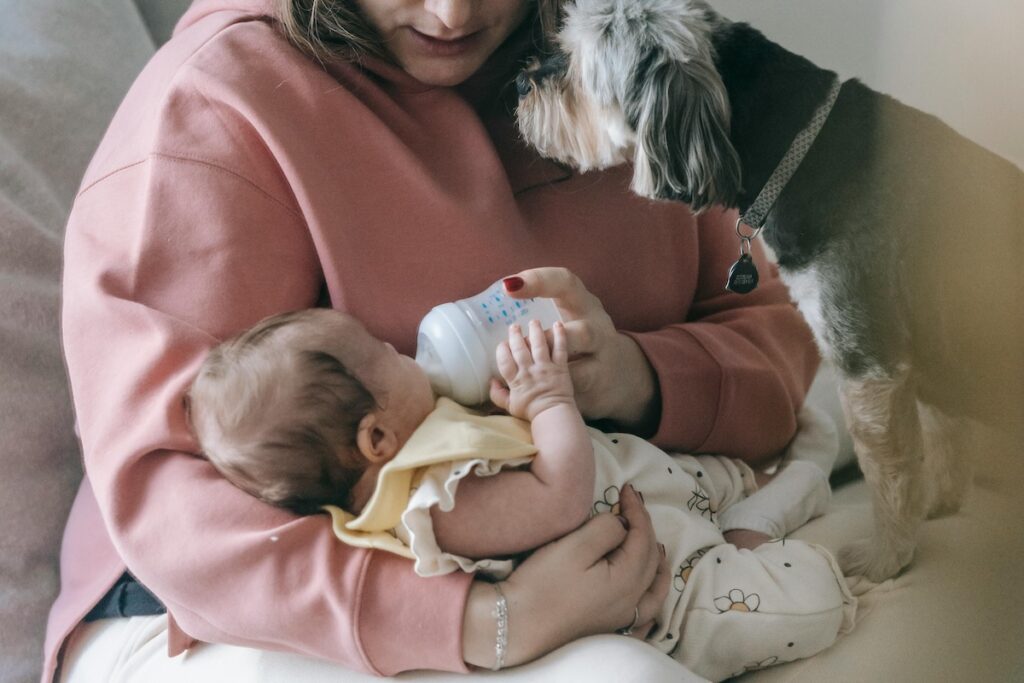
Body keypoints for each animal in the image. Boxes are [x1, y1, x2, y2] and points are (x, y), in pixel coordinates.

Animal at [520, 0, 1024, 581]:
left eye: (577, 68)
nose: (522, 83)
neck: (802, 149)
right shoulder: (929, 355)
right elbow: (946, 433)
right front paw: (938, 505)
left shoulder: (868, 362)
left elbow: (890, 472)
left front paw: (885, 557)